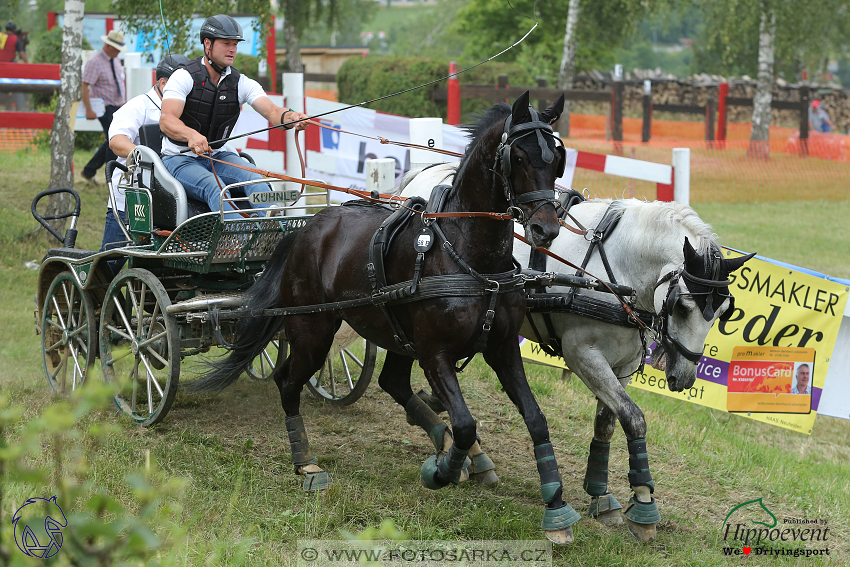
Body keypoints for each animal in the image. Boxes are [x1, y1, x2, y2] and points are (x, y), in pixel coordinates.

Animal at [191, 94, 576, 544]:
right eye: (518, 156)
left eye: (557, 159)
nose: (546, 229)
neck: (467, 255)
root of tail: (309, 226)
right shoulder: (435, 354)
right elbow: (465, 424)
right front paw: (440, 471)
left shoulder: (501, 349)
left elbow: (536, 420)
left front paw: (556, 508)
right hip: (313, 330)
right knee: (288, 382)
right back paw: (306, 462)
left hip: (389, 334)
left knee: (389, 382)